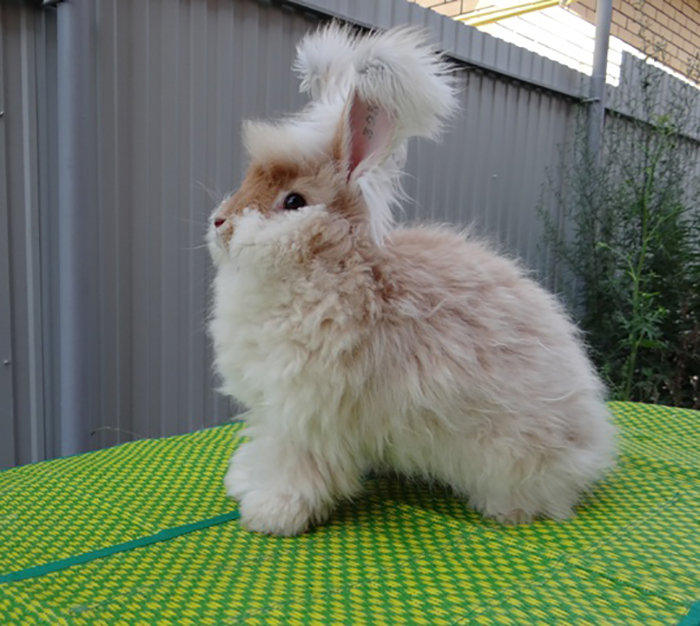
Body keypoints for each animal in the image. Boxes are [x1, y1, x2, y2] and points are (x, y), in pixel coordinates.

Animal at [207, 23, 616, 536]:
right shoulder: (272, 408)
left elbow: (293, 465)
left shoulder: (305, 414)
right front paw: (244, 481)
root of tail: (591, 442)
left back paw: (509, 510)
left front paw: (271, 513)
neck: (335, 266)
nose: (220, 222)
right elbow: (263, 449)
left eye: (294, 201)